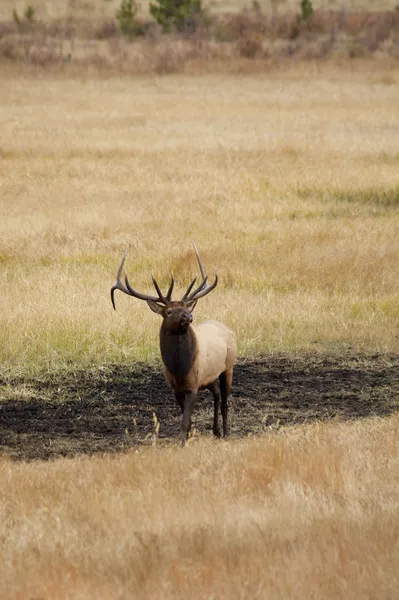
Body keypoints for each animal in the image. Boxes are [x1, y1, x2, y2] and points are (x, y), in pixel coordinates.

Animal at [111, 244, 236, 446]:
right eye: (169, 311)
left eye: (185, 307)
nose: (188, 315)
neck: (179, 367)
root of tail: (227, 328)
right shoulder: (176, 388)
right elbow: (187, 419)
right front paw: (188, 439)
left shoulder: (193, 386)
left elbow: (185, 421)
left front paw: (183, 444)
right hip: (209, 377)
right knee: (217, 394)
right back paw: (216, 432)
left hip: (229, 366)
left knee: (225, 401)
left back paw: (225, 434)